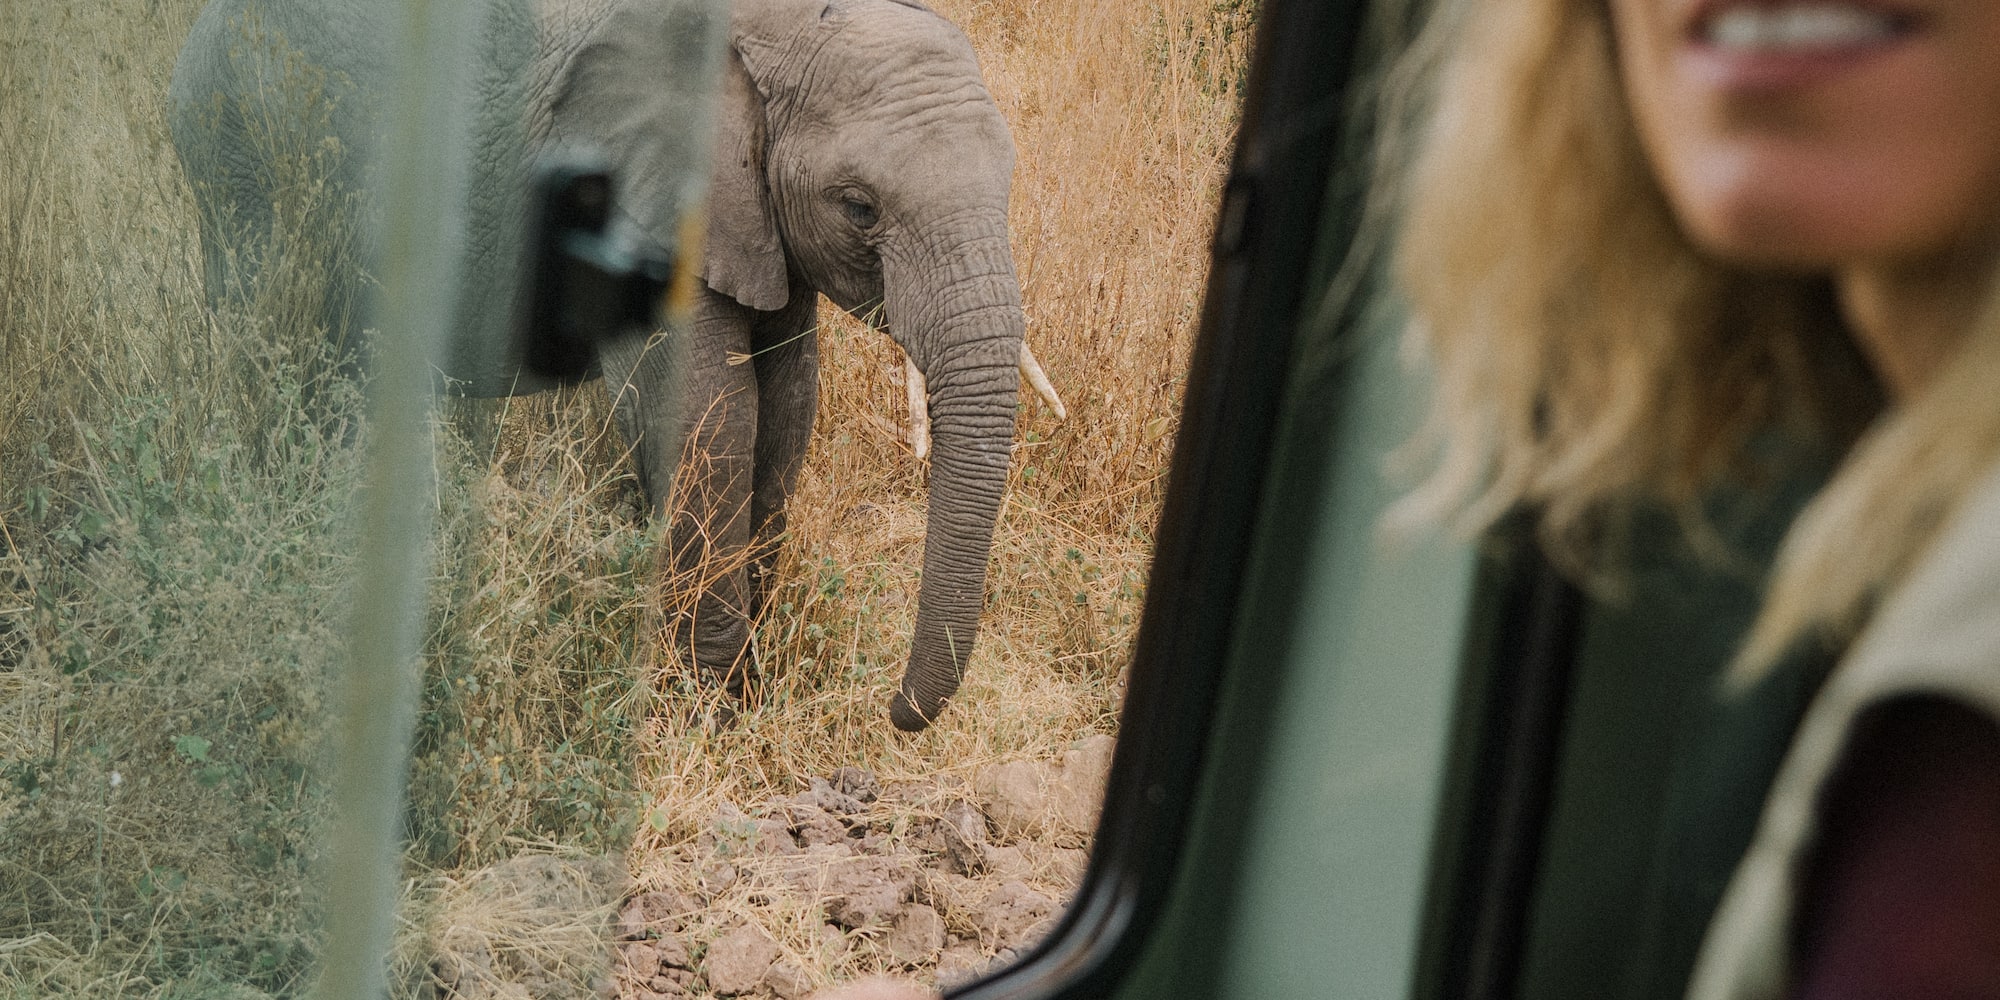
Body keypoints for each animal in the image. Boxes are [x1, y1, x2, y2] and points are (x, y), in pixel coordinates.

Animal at [169, 0, 1060, 730]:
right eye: (859, 207)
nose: (895, 711)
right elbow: (711, 423)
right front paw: (711, 715)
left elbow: (786, 411)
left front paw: (749, 690)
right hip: (239, 151)